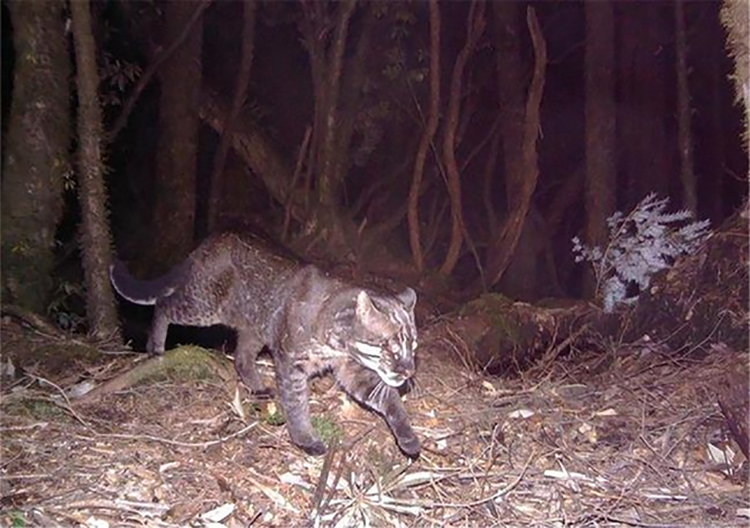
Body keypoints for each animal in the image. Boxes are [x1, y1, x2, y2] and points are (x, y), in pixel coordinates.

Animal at [109, 233, 420, 456]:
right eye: (391, 347)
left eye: (413, 347)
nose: (408, 370)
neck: (336, 341)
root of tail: (211, 240)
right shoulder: (291, 363)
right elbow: (296, 404)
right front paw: (305, 439)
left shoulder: (351, 369)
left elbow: (390, 401)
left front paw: (408, 437)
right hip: (203, 304)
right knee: (164, 305)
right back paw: (155, 346)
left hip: (252, 326)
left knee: (241, 357)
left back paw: (257, 387)